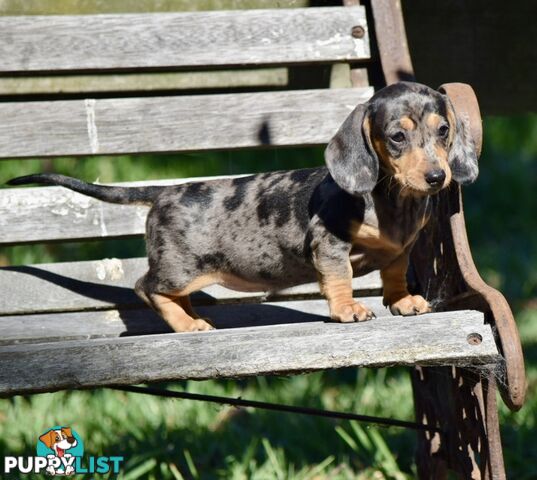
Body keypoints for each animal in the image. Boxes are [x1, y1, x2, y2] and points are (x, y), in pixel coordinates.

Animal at [8, 82, 478, 332]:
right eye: (397, 137)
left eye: (443, 131)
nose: (437, 178)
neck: (390, 199)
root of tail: (163, 192)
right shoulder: (329, 245)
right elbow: (340, 279)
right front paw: (348, 310)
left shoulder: (399, 250)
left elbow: (394, 274)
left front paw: (403, 302)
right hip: (180, 268)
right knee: (146, 287)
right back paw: (186, 325)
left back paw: (192, 316)